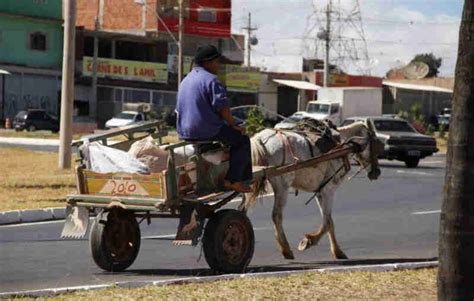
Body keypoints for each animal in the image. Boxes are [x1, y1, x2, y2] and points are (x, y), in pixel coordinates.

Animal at [239, 120, 384, 258]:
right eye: (376, 146)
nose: (376, 173)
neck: (341, 144)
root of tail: (259, 139)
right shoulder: (328, 190)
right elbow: (327, 222)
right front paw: (308, 241)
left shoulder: (320, 191)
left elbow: (329, 222)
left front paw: (337, 251)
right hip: (282, 186)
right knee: (276, 215)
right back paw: (286, 249)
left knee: (243, 211)